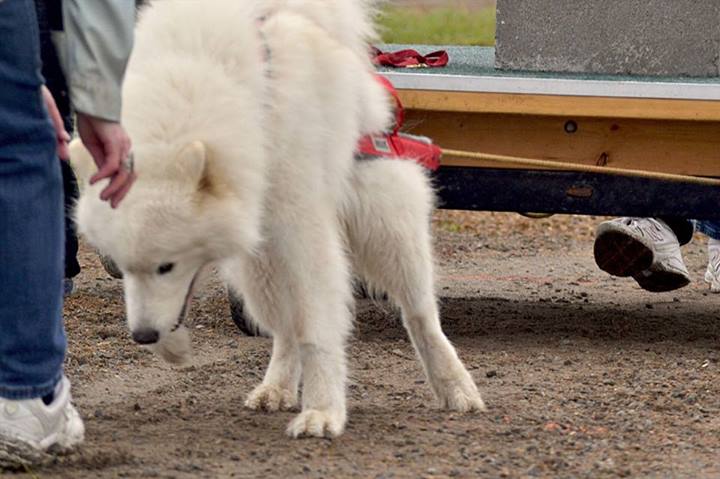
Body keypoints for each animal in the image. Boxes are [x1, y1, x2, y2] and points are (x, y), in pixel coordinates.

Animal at [71, 0, 484, 436]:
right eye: (123, 268)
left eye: (166, 265)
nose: (143, 336)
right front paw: (173, 346)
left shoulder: (303, 230)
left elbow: (317, 330)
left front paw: (323, 411)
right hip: (258, 271)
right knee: (285, 330)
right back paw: (276, 388)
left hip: (384, 232)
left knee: (420, 314)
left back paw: (456, 387)